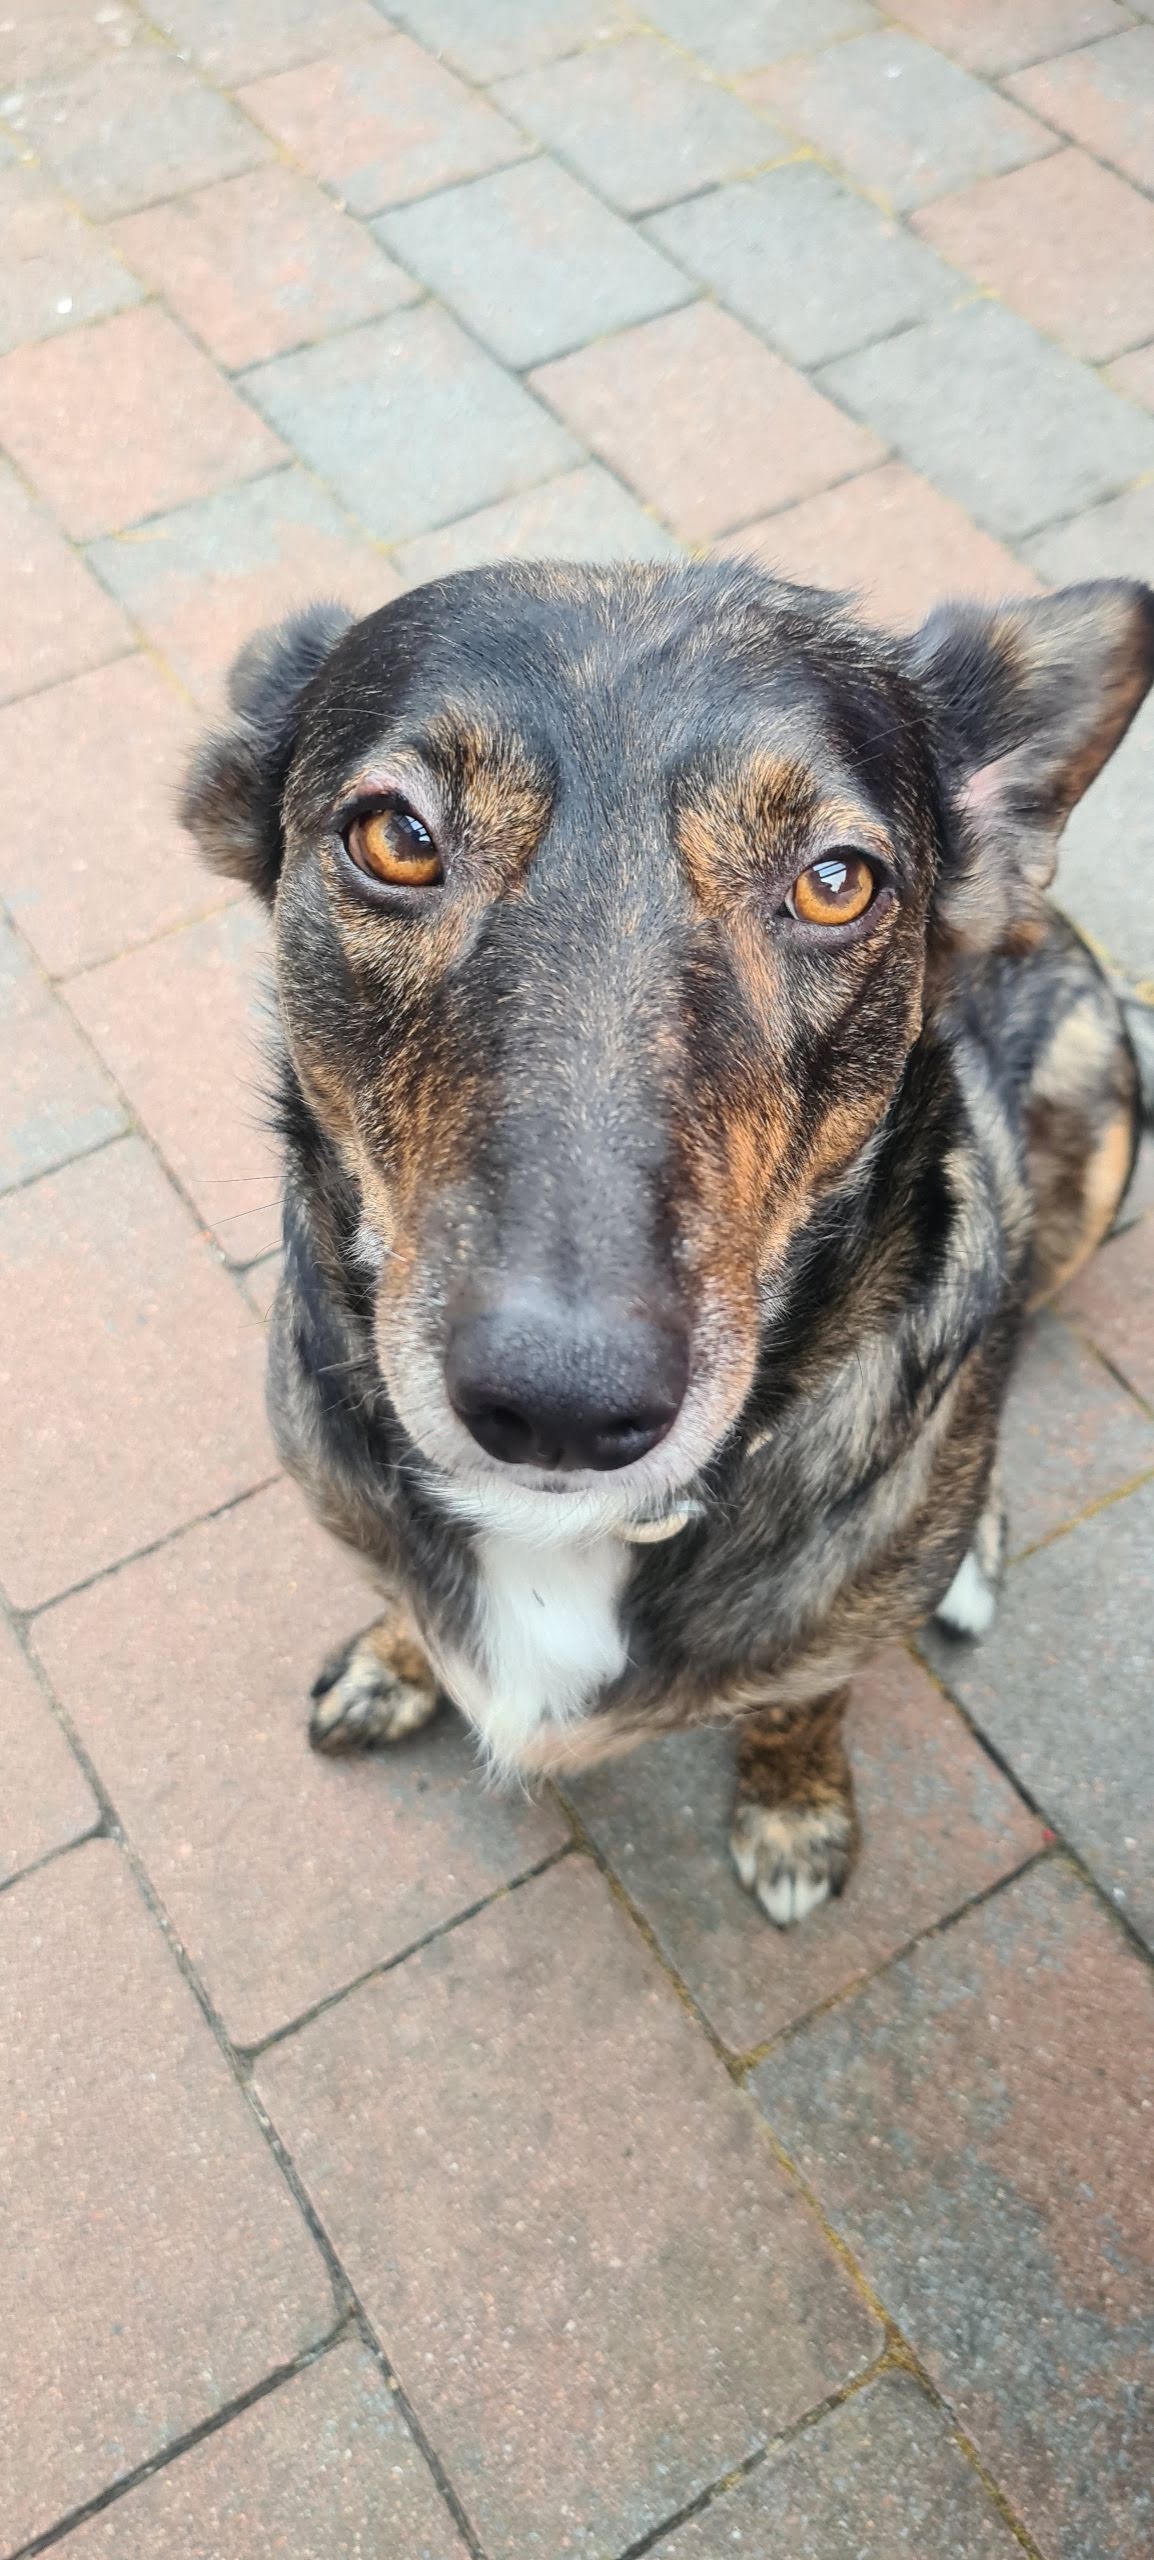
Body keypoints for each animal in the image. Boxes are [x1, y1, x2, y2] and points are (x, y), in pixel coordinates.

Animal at [182, 562, 1152, 1929]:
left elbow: (807, 1698)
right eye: (396, 838)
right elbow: (404, 1596)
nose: (559, 1406)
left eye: (836, 880)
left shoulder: (834, 1627)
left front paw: (794, 1808)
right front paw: (392, 1658)